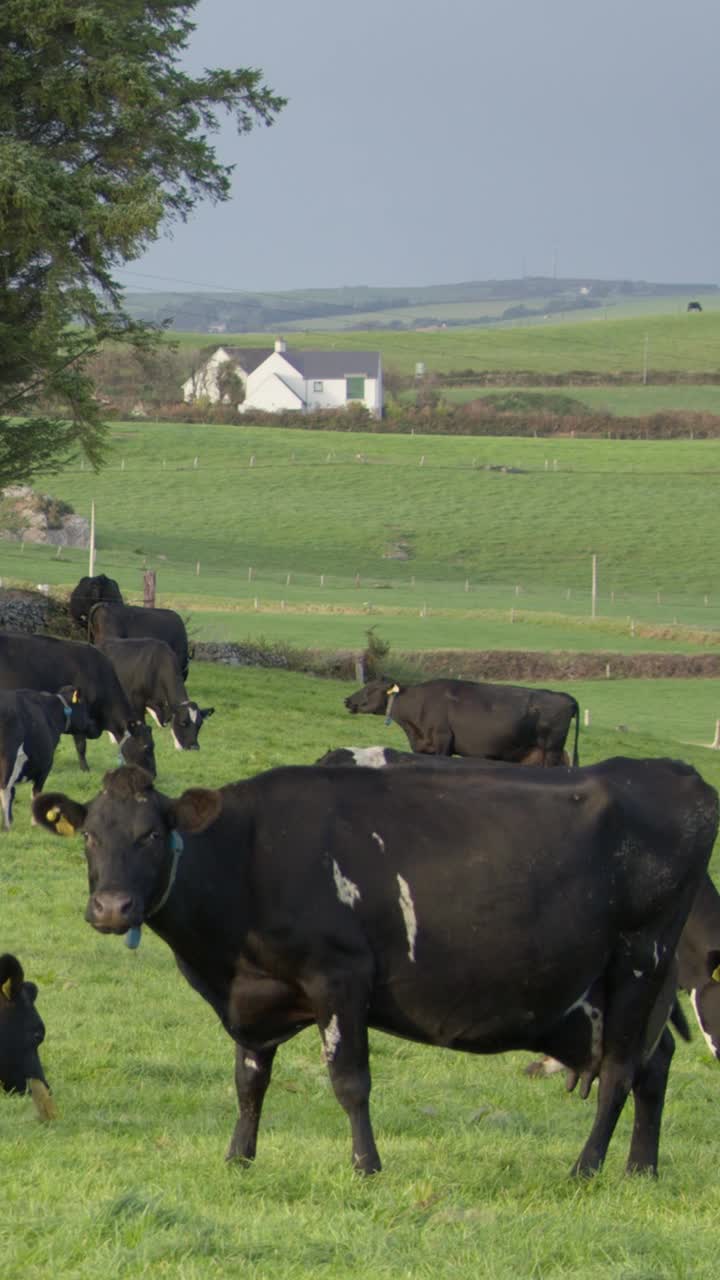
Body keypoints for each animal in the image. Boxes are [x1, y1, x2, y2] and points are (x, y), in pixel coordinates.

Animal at [0, 632, 155, 773]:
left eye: (153, 745)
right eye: (146, 747)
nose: (153, 774)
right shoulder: (79, 717)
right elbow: (81, 745)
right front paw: (85, 768)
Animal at [0, 691, 96, 829]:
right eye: (84, 706)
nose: (94, 726)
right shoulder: (45, 766)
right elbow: (36, 792)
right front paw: (35, 823)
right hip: (8, 757)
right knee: (5, 788)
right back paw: (6, 826)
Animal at [32, 752, 712, 1182]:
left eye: (152, 835)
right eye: (90, 835)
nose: (111, 908)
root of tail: (676, 774)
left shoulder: (341, 976)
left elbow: (349, 1082)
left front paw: (366, 1167)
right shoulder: (256, 996)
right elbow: (249, 1082)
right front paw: (239, 1159)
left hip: (640, 959)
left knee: (620, 1071)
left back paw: (586, 1168)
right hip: (628, 989)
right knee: (654, 1065)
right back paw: (640, 1170)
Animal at [340, 675, 576, 762]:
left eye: (370, 689)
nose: (347, 700)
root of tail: (564, 696)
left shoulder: (443, 743)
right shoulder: (422, 749)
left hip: (552, 751)